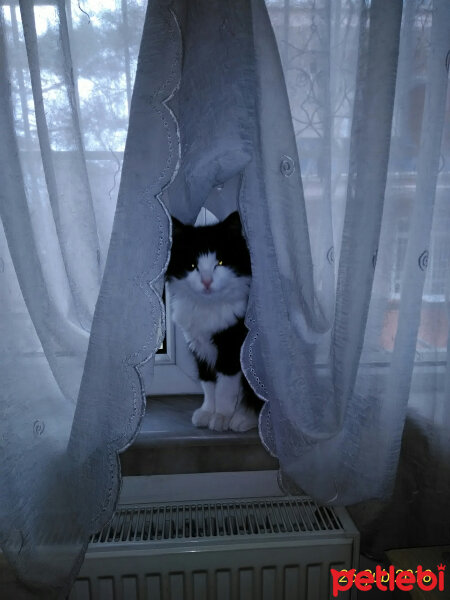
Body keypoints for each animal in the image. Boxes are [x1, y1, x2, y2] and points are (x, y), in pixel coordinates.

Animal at [167, 211, 262, 432]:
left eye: (219, 263)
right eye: (193, 266)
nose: (207, 282)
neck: (207, 307)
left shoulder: (231, 349)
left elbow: (225, 388)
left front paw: (221, 417)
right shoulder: (199, 347)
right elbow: (209, 384)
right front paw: (207, 412)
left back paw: (242, 419)